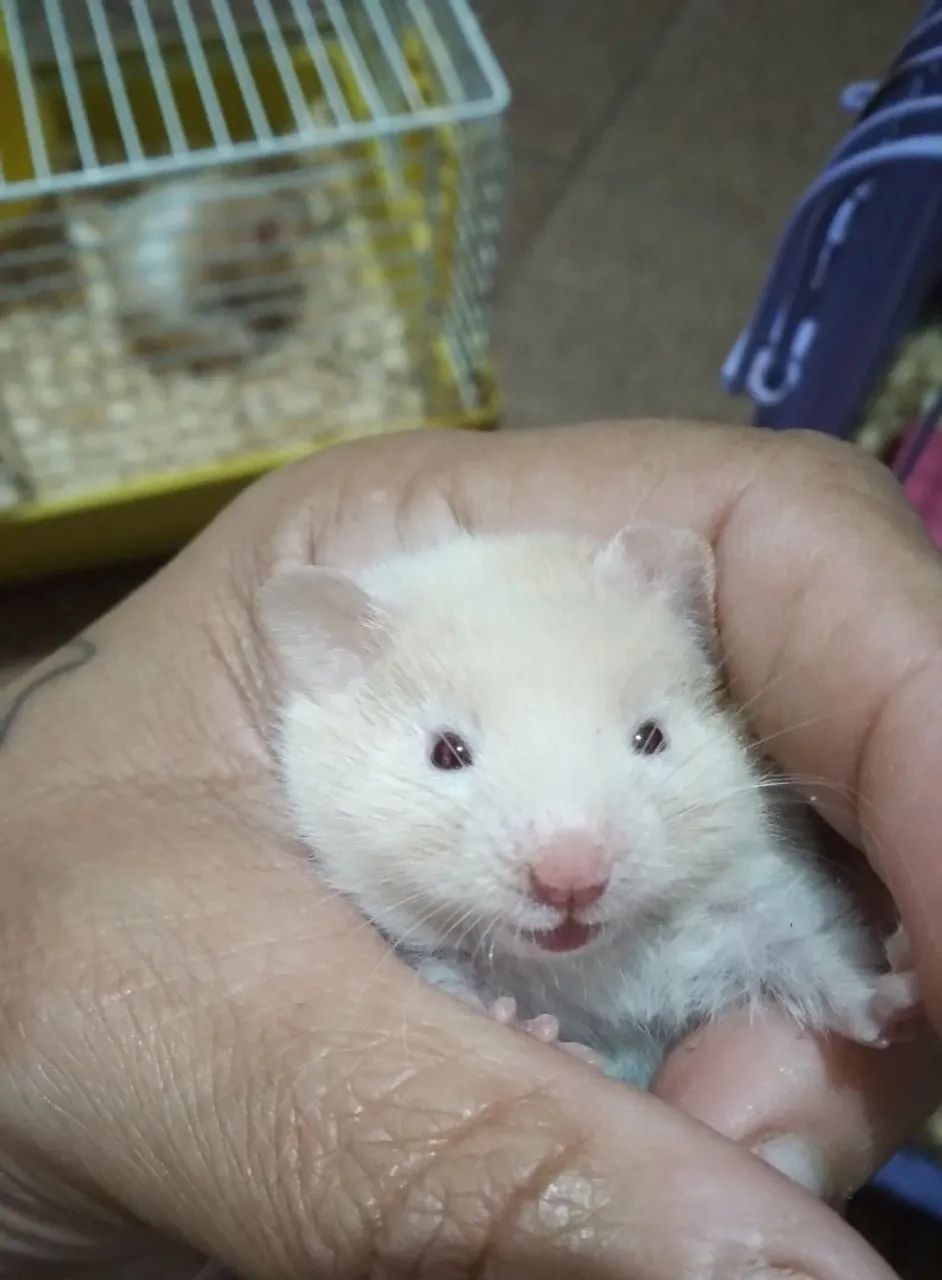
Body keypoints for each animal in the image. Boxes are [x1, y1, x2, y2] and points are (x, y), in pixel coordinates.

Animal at [261, 524, 920, 1086]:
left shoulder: (758, 908)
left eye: (651, 737)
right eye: (445, 753)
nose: (571, 881)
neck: (592, 959)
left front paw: (905, 994)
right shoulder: (430, 955)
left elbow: (822, 963)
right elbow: (460, 985)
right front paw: (537, 1031)